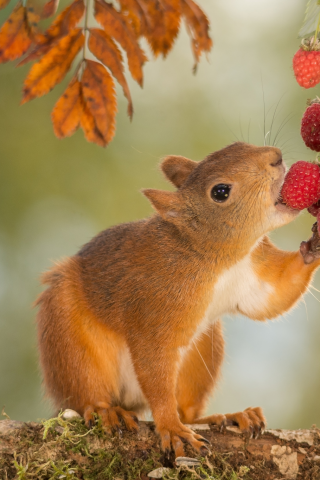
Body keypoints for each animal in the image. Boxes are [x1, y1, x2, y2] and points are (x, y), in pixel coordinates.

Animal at [36, 142, 320, 458]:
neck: (219, 259)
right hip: (69, 339)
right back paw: (105, 411)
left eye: (237, 145)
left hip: (203, 350)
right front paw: (170, 428)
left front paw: (315, 244)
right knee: (85, 391)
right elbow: (155, 367)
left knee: (188, 411)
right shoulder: (154, 308)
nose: (276, 157)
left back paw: (231, 416)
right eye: (220, 192)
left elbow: (274, 296)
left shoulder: (254, 272)